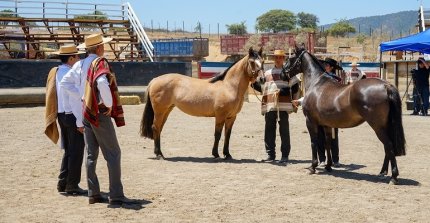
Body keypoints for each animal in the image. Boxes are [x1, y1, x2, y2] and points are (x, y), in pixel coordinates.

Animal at [284, 46, 404, 184]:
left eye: (290, 58)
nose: (282, 73)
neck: (316, 84)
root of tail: (386, 85)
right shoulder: (326, 124)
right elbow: (328, 143)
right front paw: (328, 166)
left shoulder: (310, 121)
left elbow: (314, 142)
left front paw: (312, 167)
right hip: (385, 125)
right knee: (387, 147)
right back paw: (382, 172)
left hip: (378, 126)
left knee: (389, 145)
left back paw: (393, 177)